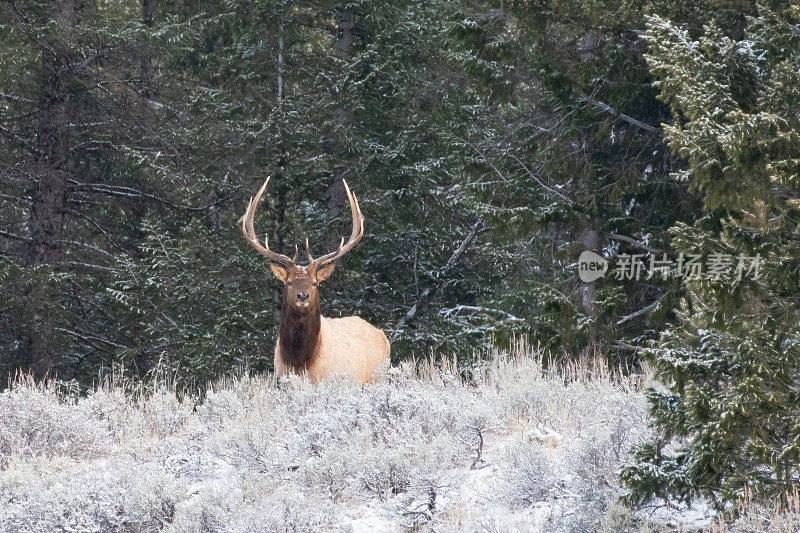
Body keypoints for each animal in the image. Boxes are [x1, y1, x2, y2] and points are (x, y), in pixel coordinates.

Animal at [241, 178, 390, 382]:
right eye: (289, 282)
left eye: (314, 283)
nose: (302, 296)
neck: (299, 362)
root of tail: (383, 336)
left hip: (376, 378)